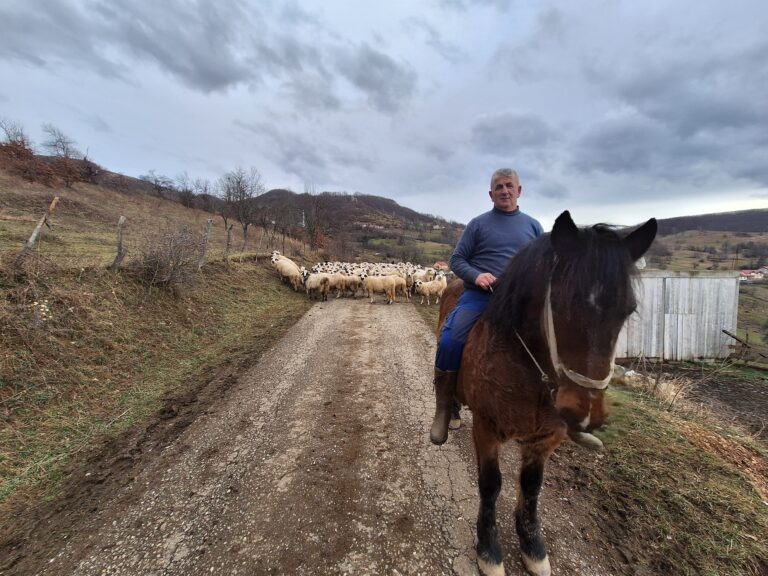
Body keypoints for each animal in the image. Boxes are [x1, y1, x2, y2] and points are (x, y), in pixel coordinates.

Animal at [440, 212, 656, 576]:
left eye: (628, 310)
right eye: (563, 303)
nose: (586, 414)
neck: (531, 372)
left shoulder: (546, 438)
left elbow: (531, 486)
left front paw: (532, 546)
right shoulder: (486, 428)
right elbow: (490, 484)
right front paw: (489, 549)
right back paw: (450, 416)